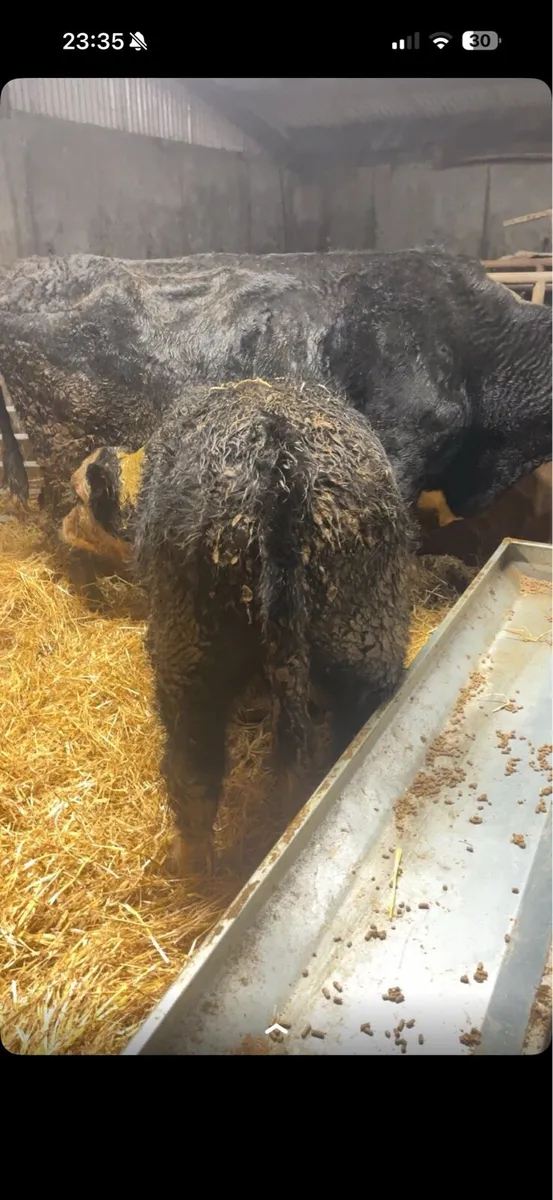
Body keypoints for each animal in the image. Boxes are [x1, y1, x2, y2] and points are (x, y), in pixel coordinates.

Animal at [61, 379, 414, 873]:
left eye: (78, 498)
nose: (62, 526)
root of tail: (280, 465)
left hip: (191, 646)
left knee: (194, 767)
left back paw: (188, 861)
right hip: (365, 632)